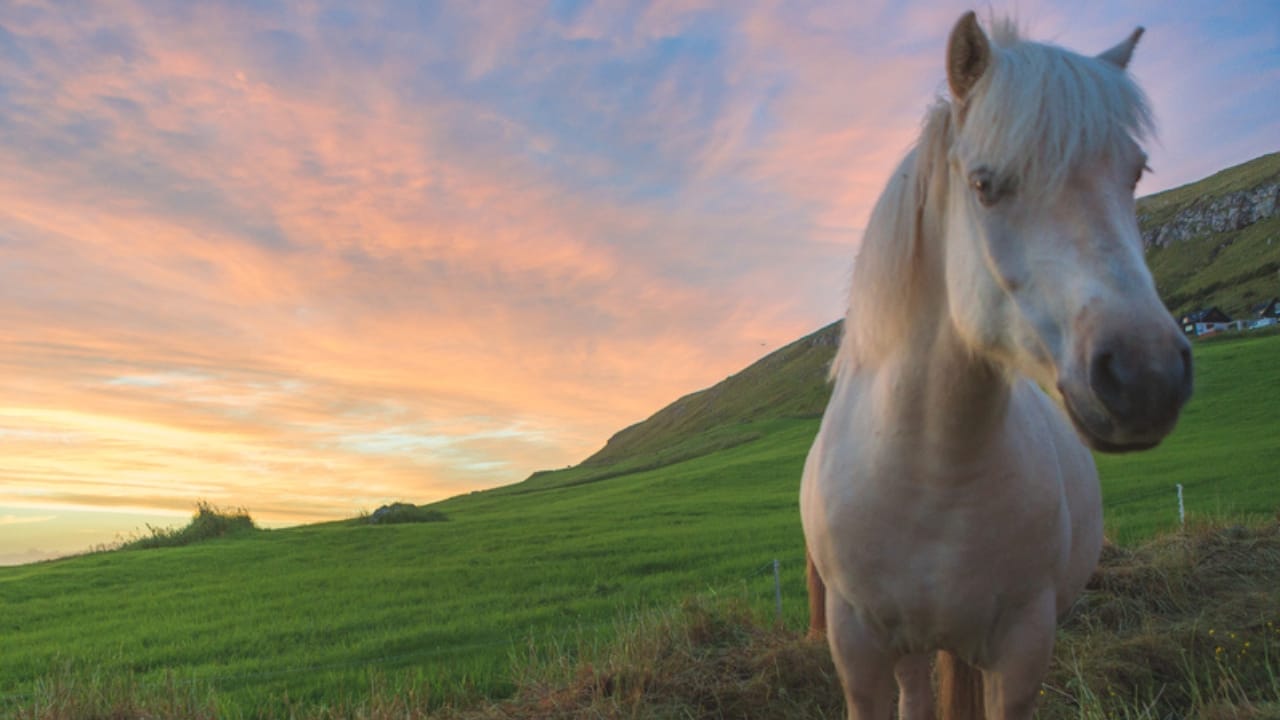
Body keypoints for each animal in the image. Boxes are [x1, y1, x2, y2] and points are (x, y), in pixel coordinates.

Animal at [799, 12, 1192, 720]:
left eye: (1135, 174)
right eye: (983, 184)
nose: (1147, 377)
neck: (931, 473)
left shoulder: (1021, 649)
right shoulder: (860, 655)